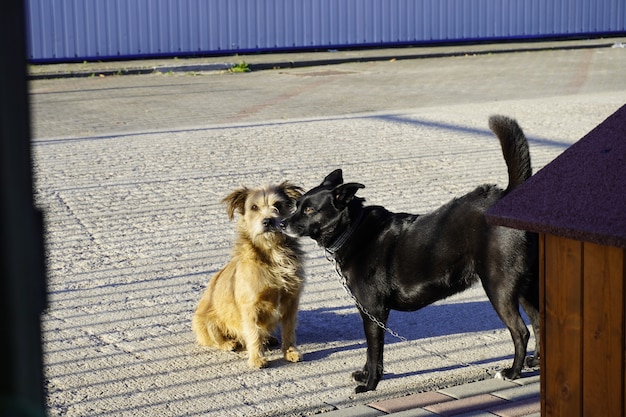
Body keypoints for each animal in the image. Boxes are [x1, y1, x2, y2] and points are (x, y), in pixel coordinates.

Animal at [193, 182, 304, 368]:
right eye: (254, 207)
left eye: (278, 205)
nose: (268, 221)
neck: (272, 252)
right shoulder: (250, 306)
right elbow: (253, 333)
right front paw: (257, 359)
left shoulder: (291, 301)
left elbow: (289, 331)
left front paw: (290, 352)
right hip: (205, 320)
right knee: (216, 339)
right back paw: (229, 344)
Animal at [286, 115, 540, 392]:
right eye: (297, 205)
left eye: (309, 210)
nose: (281, 223)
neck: (353, 229)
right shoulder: (370, 313)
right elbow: (371, 352)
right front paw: (365, 376)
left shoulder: (374, 311)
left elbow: (375, 352)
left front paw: (370, 384)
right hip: (525, 287)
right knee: (540, 323)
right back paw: (536, 362)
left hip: (499, 287)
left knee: (521, 332)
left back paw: (513, 371)